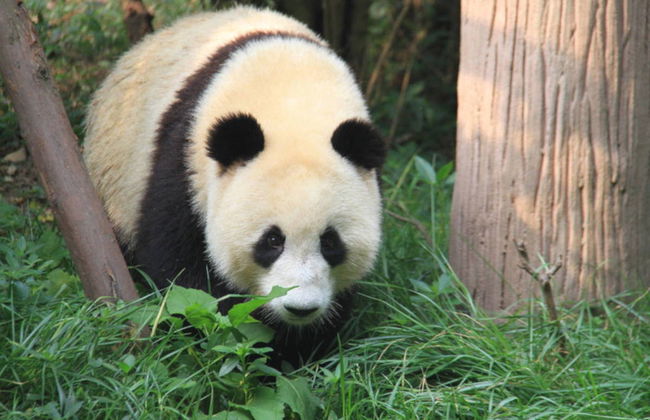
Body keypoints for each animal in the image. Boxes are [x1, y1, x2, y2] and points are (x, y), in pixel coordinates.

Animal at [83, 6, 385, 364]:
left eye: (330, 242)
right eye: (272, 240)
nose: (300, 309)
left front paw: (299, 345)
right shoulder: (185, 162)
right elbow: (182, 271)